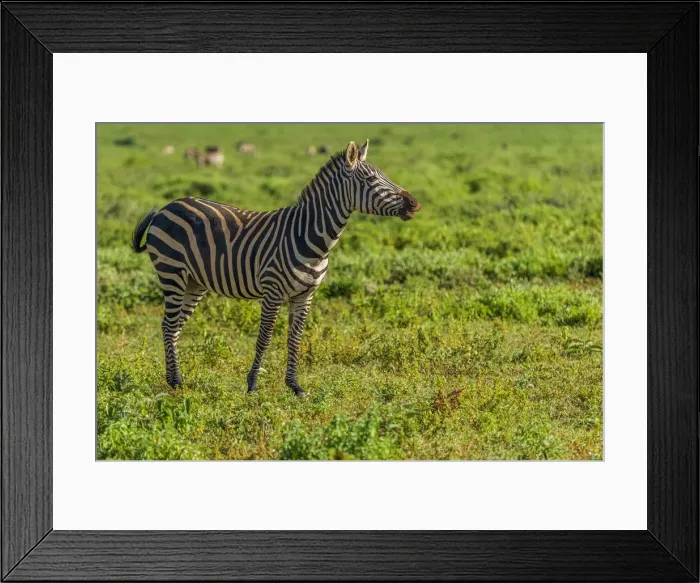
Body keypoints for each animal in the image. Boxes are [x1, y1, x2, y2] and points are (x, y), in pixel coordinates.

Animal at [131, 140, 421, 397]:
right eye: (371, 179)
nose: (415, 204)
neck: (311, 237)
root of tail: (168, 206)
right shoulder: (273, 292)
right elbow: (265, 338)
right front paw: (252, 385)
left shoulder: (305, 296)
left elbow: (295, 339)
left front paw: (295, 386)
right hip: (172, 273)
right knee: (168, 325)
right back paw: (175, 381)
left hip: (194, 283)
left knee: (175, 327)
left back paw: (175, 380)